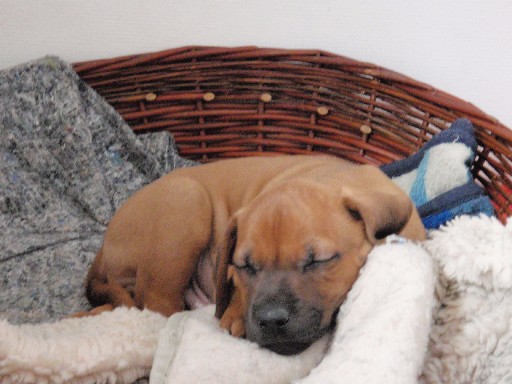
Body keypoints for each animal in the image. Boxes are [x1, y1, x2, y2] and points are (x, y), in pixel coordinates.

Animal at [86, 154, 426, 356]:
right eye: (245, 266)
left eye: (317, 261)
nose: (271, 321)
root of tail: (103, 249)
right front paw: (236, 313)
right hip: (186, 201)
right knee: (157, 309)